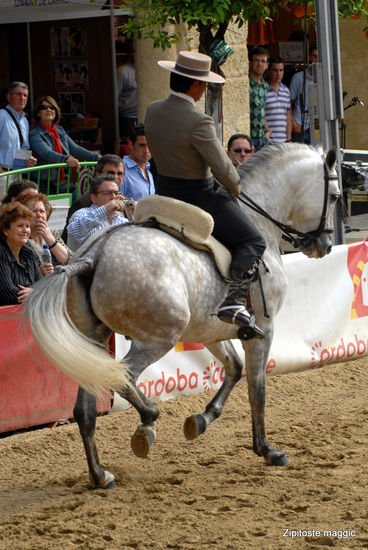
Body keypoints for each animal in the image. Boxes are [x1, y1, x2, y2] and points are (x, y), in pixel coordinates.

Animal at [25, 144, 340, 490]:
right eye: (335, 196)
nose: (325, 245)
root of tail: (95, 254)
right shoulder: (264, 329)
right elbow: (257, 390)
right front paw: (267, 450)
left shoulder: (212, 331)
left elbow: (234, 369)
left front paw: (200, 421)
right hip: (158, 339)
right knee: (123, 377)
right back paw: (148, 422)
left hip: (93, 342)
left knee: (85, 410)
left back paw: (101, 475)